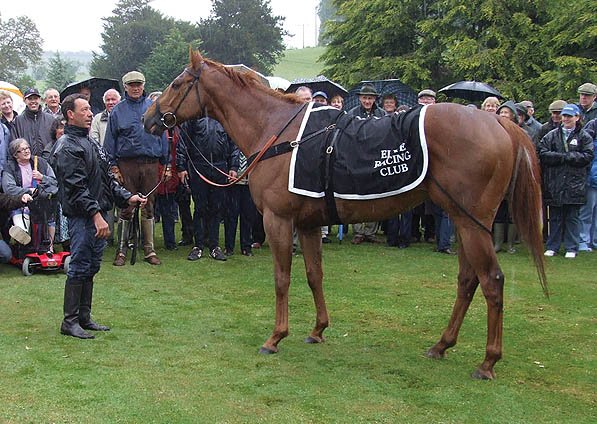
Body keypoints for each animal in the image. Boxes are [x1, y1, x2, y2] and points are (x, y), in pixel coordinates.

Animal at [143, 48, 544, 380]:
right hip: (461, 221)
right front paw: (317, 329)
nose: (149, 118)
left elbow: (282, 278)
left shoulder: (278, 220)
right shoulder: (307, 224)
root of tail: (497, 123)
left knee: (491, 281)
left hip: (472, 223)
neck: (278, 132)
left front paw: (275, 337)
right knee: (467, 280)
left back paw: (488, 361)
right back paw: (442, 345)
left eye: (177, 84)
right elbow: (314, 275)